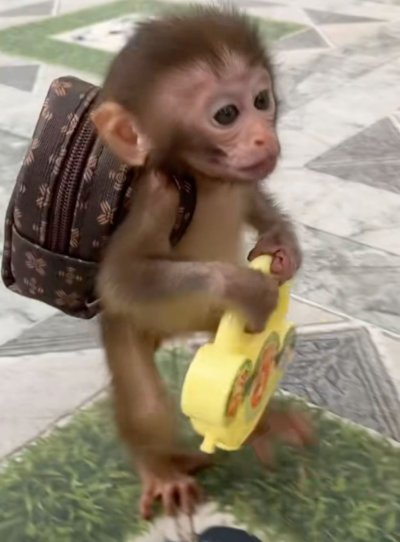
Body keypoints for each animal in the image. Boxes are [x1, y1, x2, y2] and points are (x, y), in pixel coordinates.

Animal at [91, 6, 313, 520]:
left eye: (261, 99)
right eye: (226, 114)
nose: (264, 136)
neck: (206, 180)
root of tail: (165, 336)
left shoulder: (240, 181)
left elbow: (255, 200)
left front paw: (283, 244)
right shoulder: (158, 198)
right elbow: (121, 279)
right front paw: (246, 286)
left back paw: (265, 423)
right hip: (126, 327)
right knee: (145, 400)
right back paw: (161, 469)